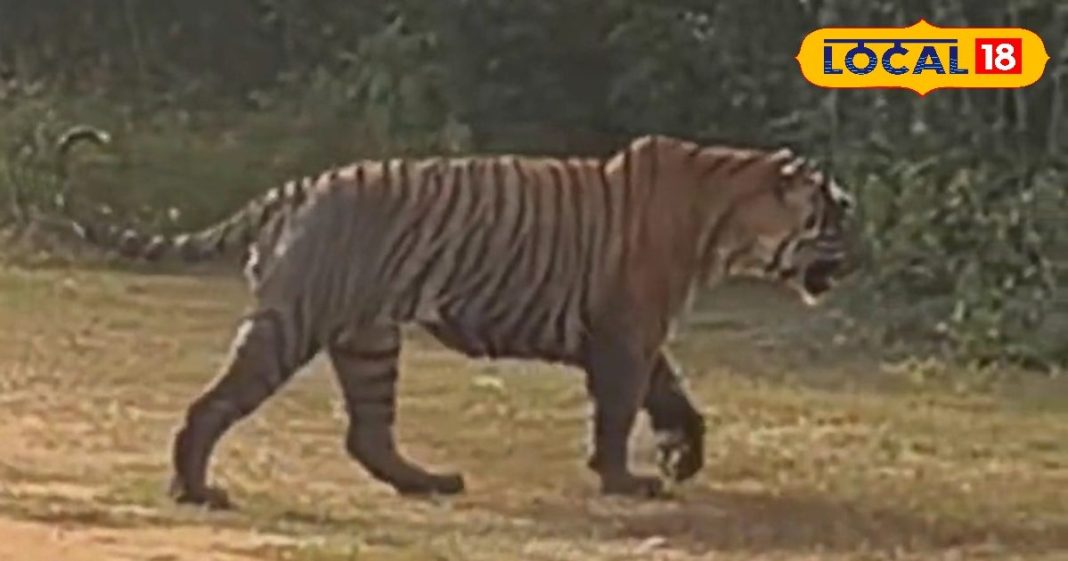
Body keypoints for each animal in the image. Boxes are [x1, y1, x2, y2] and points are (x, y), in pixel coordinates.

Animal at [70, 134, 855, 507]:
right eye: (835, 216)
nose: (856, 258)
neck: (731, 217)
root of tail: (297, 185)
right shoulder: (627, 332)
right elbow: (619, 411)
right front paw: (625, 480)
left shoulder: (637, 331)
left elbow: (674, 397)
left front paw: (679, 455)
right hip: (292, 322)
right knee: (213, 404)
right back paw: (196, 490)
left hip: (369, 338)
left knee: (367, 433)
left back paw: (429, 481)